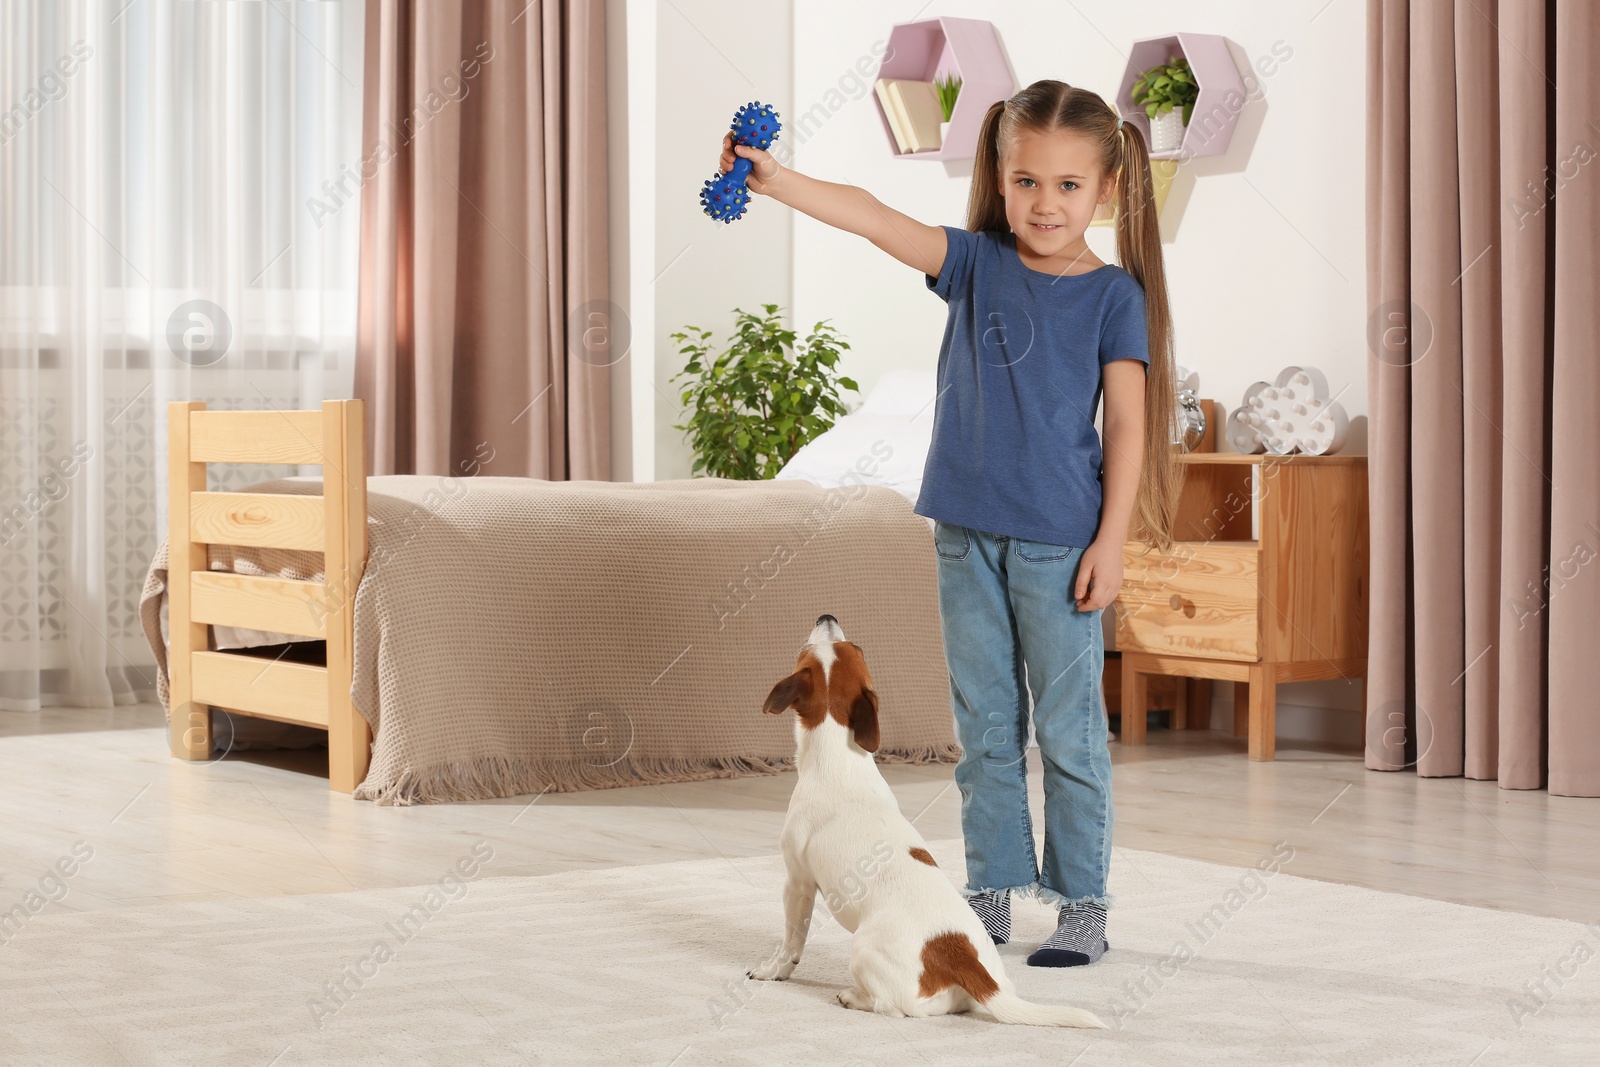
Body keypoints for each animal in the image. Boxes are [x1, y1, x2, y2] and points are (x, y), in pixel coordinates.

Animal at [745, 614, 1100, 1030]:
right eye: (857, 648)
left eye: (810, 650)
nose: (827, 617)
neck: (839, 759)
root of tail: (959, 953)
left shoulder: (798, 883)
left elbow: (791, 941)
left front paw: (773, 971)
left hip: (862, 949)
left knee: (897, 1007)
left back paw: (853, 996)